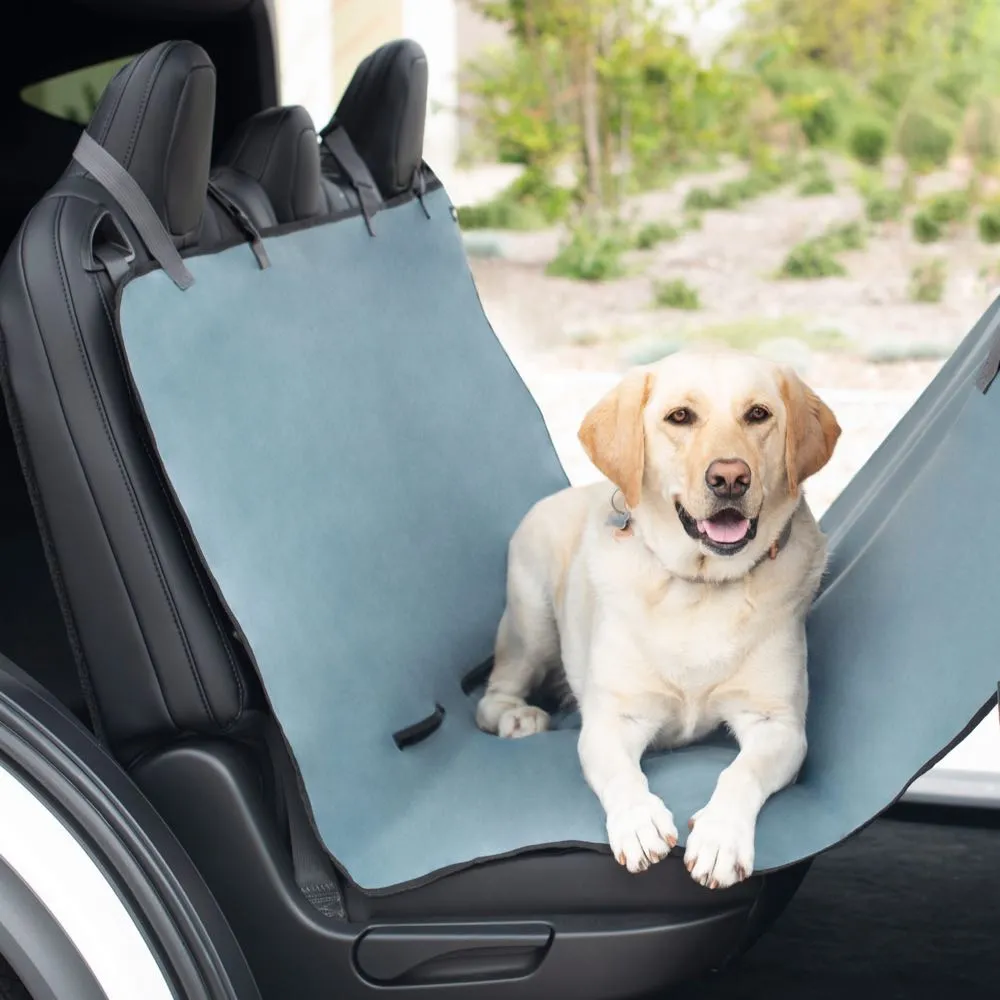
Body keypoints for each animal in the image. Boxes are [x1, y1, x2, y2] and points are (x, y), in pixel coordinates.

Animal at [480, 350, 840, 892]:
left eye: (758, 414)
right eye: (680, 417)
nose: (730, 477)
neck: (699, 585)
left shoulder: (777, 724)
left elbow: (740, 772)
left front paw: (720, 837)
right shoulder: (612, 721)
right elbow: (622, 775)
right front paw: (638, 821)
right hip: (532, 623)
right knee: (492, 695)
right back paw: (518, 717)